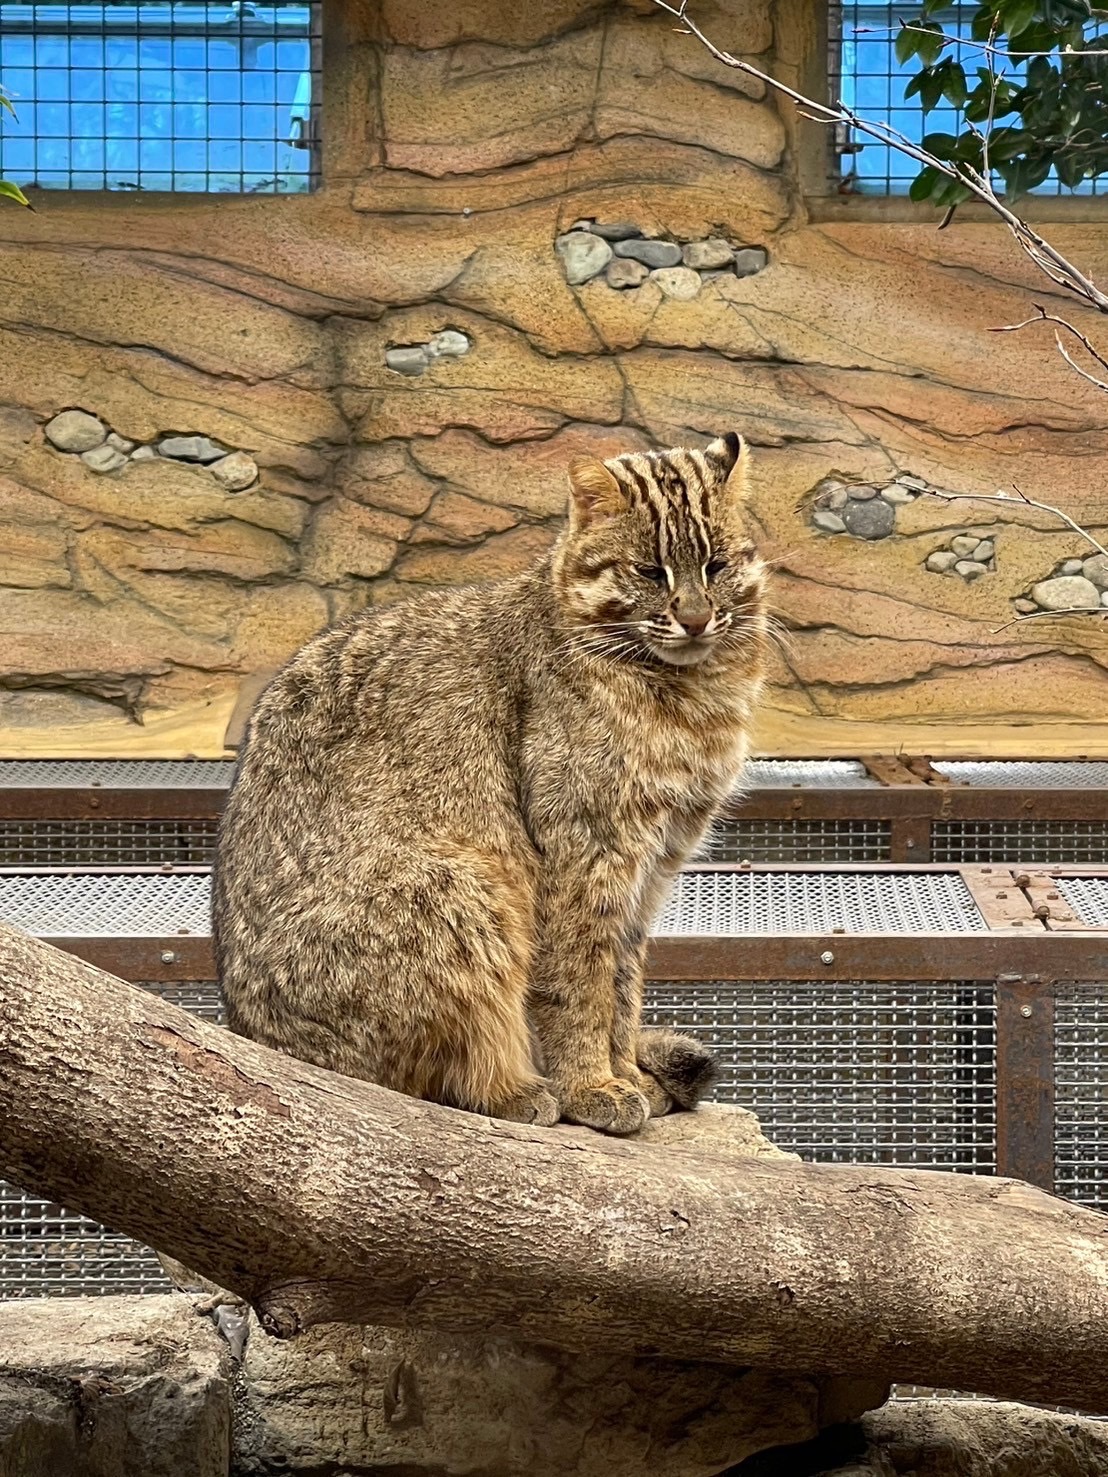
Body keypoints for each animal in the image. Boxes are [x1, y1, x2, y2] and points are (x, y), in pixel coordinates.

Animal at [212, 431, 768, 1134]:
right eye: (649, 572)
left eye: (716, 567)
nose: (696, 619)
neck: (690, 694)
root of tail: (250, 1034)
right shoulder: (584, 849)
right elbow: (580, 986)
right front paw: (593, 1085)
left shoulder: (654, 866)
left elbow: (624, 987)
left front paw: (626, 1072)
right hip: (466, 888)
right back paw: (515, 1089)